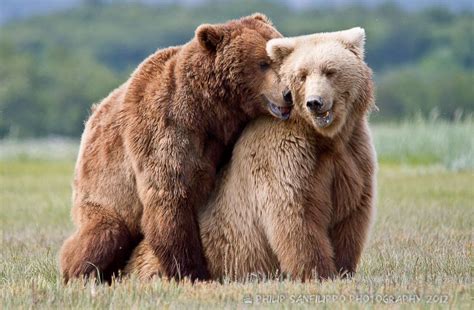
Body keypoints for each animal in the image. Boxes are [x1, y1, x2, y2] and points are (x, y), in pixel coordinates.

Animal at [57, 13, 290, 282]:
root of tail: (91, 121)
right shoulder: (164, 130)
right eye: (263, 63)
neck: (208, 111)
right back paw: (78, 272)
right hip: (102, 191)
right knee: (104, 234)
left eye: (282, 57)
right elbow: (169, 201)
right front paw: (192, 272)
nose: (288, 93)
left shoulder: (218, 140)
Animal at [125, 27, 378, 280]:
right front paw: (318, 271)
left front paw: (343, 268)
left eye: (330, 71)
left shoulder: (351, 154)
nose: (314, 102)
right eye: (302, 75)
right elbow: (298, 213)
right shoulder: (286, 155)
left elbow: (351, 214)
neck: (325, 137)